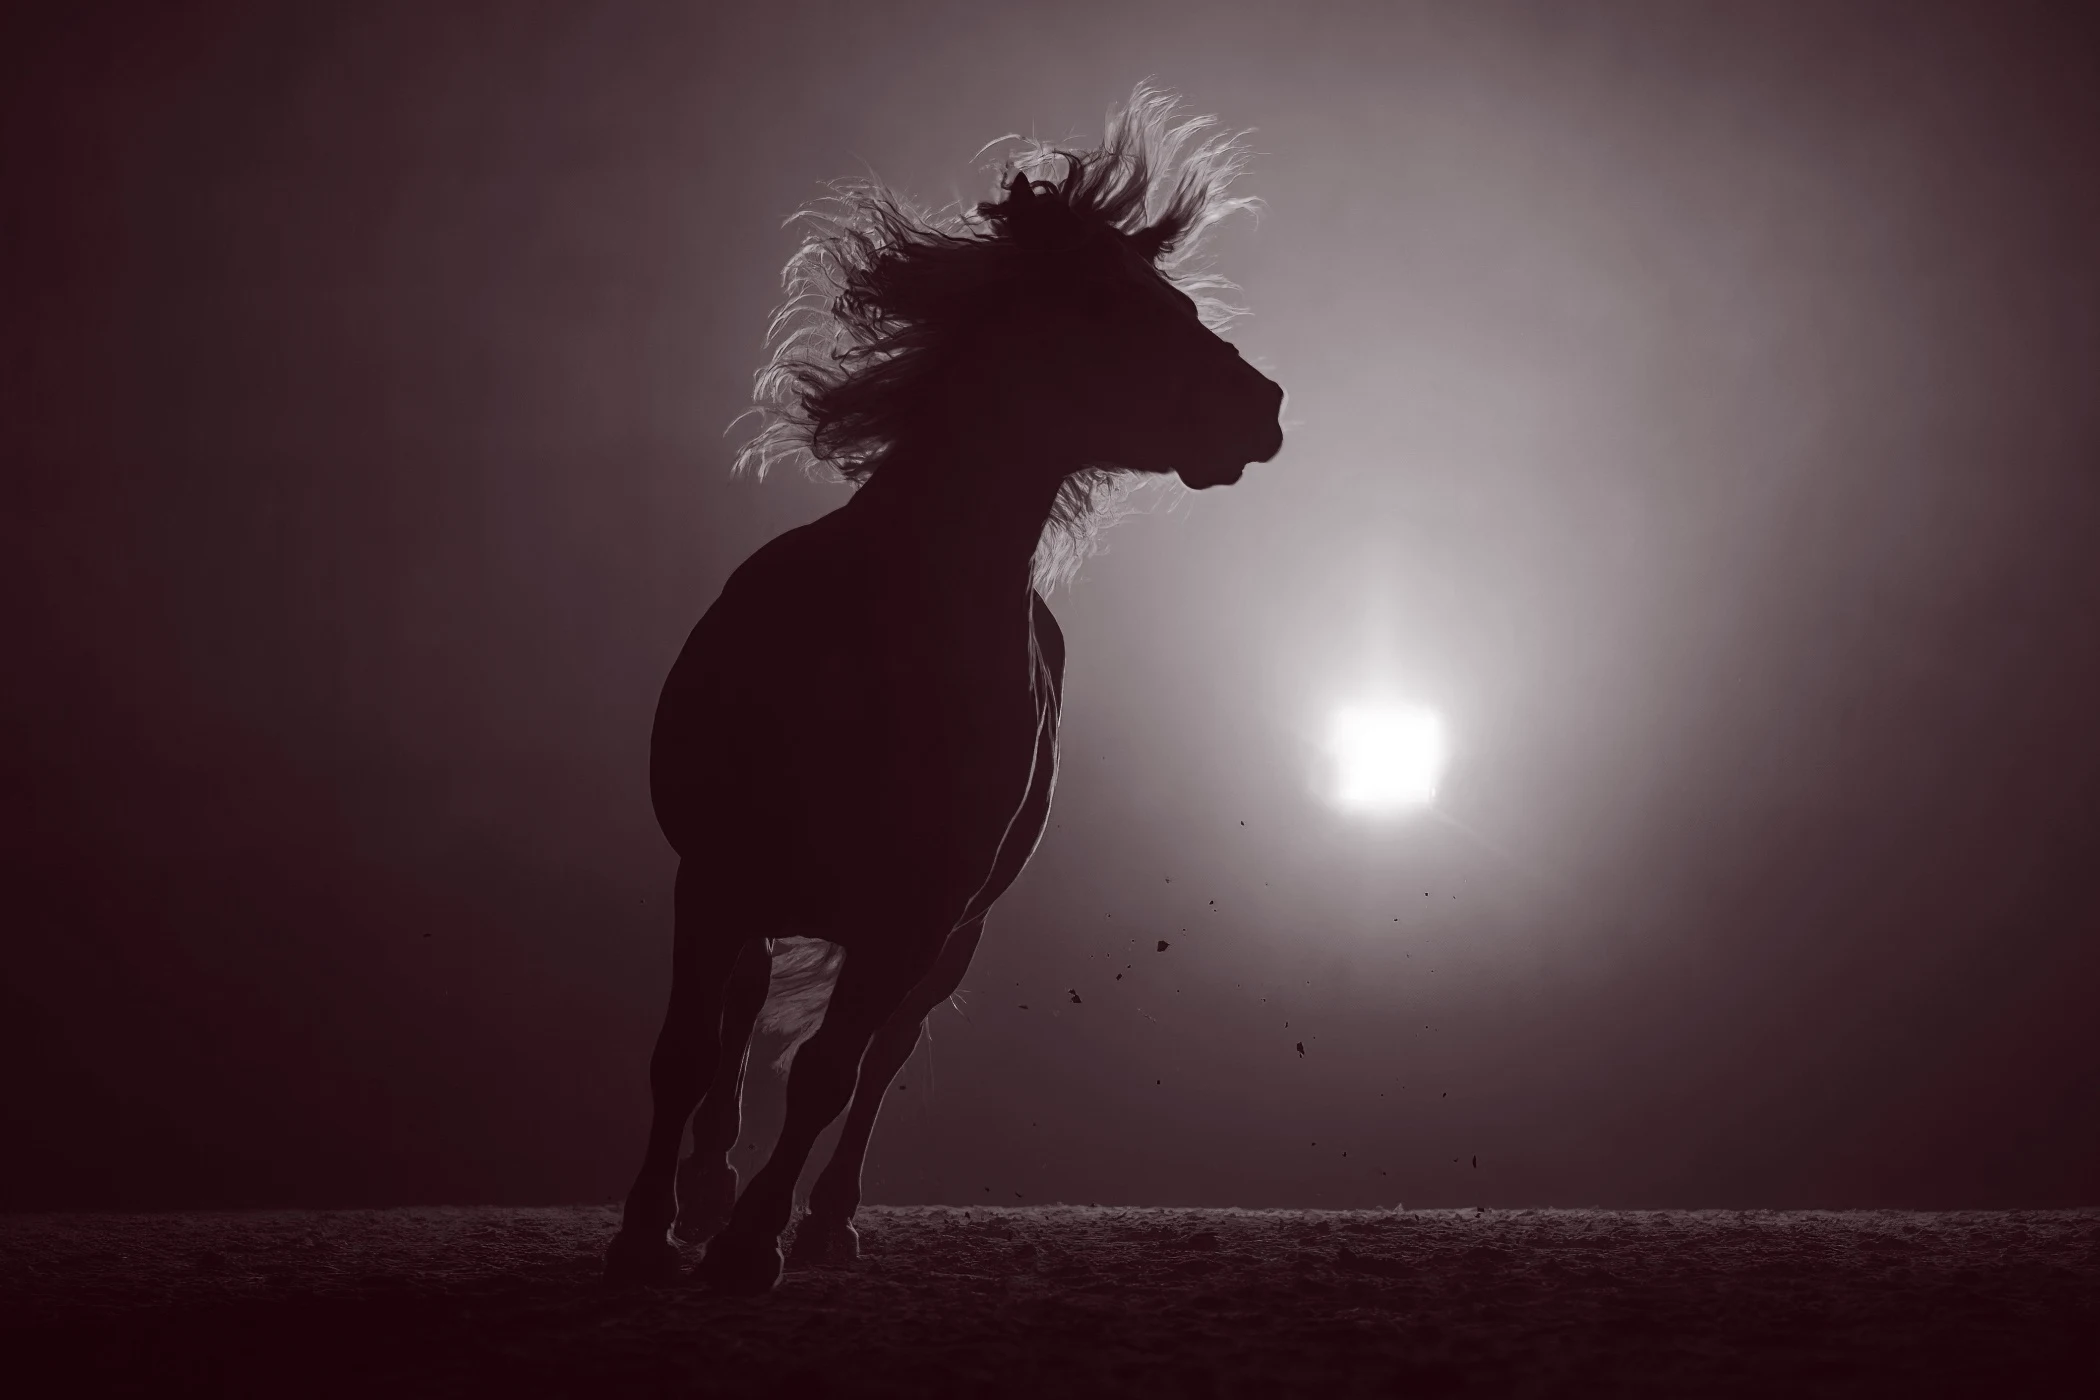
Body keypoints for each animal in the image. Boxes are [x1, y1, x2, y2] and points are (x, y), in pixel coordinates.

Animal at [603, 85, 1285, 1295]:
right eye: (1116, 302)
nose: (1266, 404)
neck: (890, 635)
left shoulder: (915, 916)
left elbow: (832, 1073)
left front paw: (753, 1245)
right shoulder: (716, 874)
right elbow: (683, 1052)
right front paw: (646, 1236)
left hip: (946, 940)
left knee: (877, 1061)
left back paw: (818, 1220)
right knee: (737, 1019)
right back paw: (707, 1184)